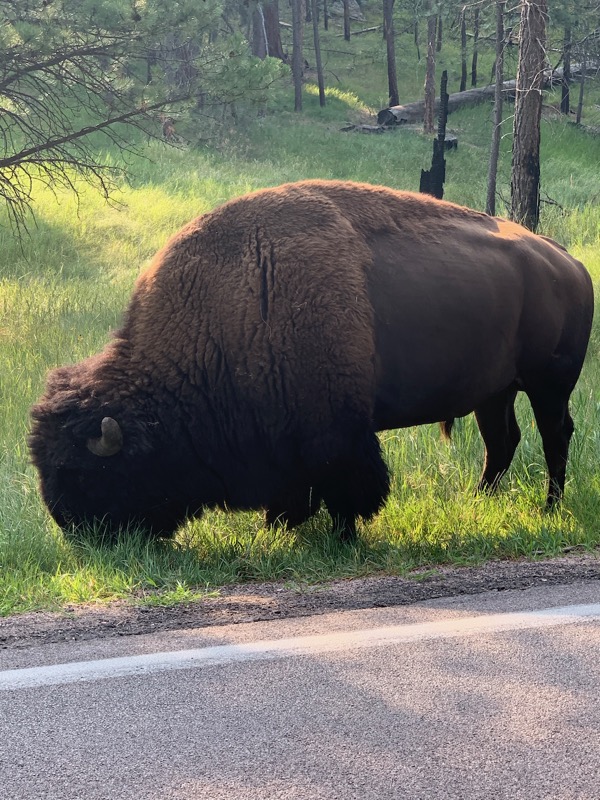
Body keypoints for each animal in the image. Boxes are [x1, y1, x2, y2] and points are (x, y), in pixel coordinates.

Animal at [29, 180, 594, 541]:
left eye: (83, 472)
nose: (76, 531)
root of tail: (569, 261)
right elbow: (298, 490)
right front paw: (280, 526)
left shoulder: (335, 432)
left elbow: (346, 485)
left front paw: (339, 535)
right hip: (494, 392)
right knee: (502, 443)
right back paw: (480, 502)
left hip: (548, 384)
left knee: (554, 435)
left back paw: (550, 507)